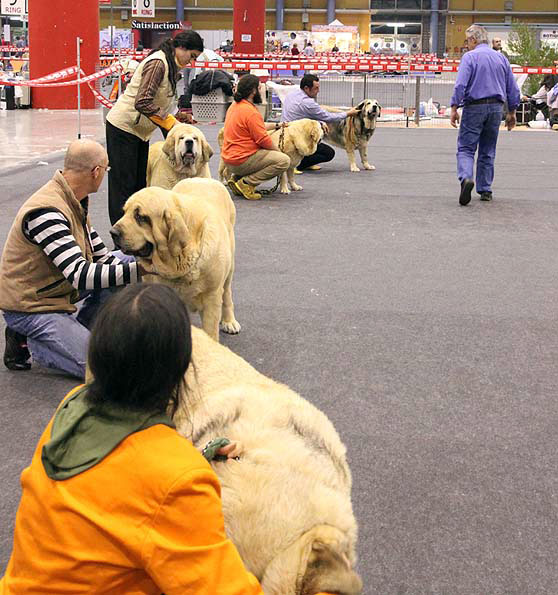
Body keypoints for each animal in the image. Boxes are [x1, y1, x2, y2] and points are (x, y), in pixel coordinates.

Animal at [110, 179, 241, 342]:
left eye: (140, 217)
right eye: (124, 212)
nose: (113, 232)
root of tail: (203, 179)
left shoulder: (211, 298)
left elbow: (211, 332)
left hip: (229, 267)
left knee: (227, 292)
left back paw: (229, 321)